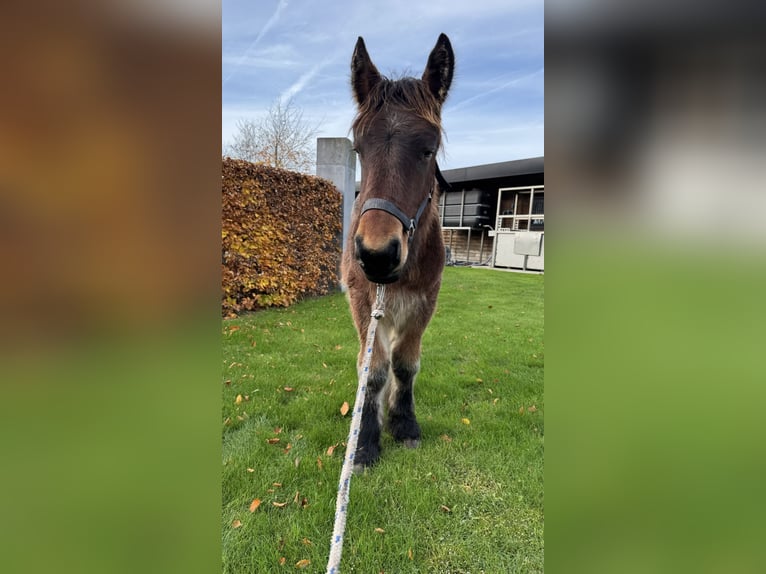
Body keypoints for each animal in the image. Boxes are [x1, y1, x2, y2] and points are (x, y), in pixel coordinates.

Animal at [344, 33, 456, 472]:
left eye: (428, 149)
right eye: (359, 149)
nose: (377, 254)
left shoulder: (425, 301)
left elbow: (405, 366)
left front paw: (402, 422)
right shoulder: (362, 299)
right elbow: (372, 369)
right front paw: (365, 441)